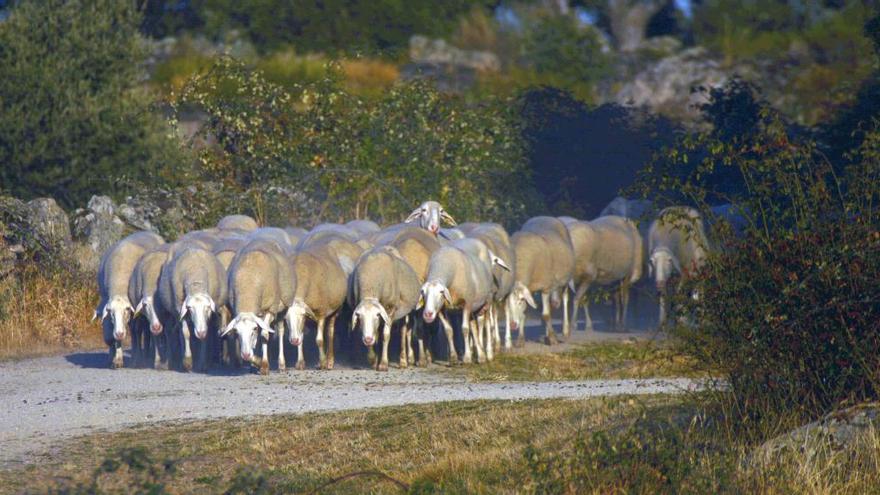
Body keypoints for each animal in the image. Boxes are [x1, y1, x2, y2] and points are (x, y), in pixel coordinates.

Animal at [96, 232, 165, 368]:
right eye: (111, 312)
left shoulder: (134, 311)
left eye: (126, 310)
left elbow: (135, 331)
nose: (119, 334)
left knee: (144, 331)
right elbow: (115, 335)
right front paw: (117, 359)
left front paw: (136, 359)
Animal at [158, 244, 229, 372]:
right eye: (190, 308)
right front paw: (187, 361)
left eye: (207, 308)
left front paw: (202, 363)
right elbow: (186, 333)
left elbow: (206, 336)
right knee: (177, 333)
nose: (200, 332)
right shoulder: (180, 310)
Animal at [506, 215, 576, 346]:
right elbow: (524, 314)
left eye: (520, 300)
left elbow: (546, 314)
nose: (512, 325)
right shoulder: (530, 288)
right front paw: (520, 340)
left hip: (565, 279)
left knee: (565, 300)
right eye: (507, 303)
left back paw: (565, 331)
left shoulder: (545, 288)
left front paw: (553, 339)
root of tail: (545, 217)